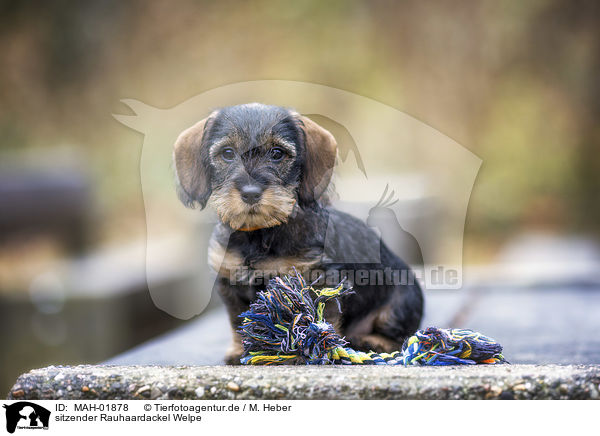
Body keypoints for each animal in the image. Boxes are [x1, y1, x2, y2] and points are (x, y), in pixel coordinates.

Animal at [173, 103, 424, 364]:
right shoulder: (230, 283)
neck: (260, 234)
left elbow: (320, 320)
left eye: (277, 153)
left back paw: (370, 341)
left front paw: (316, 350)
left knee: (401, 336)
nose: (251, 193)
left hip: (398, 304)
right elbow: (237, 320)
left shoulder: (318, 281)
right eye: (227, 153)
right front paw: (239, 351)